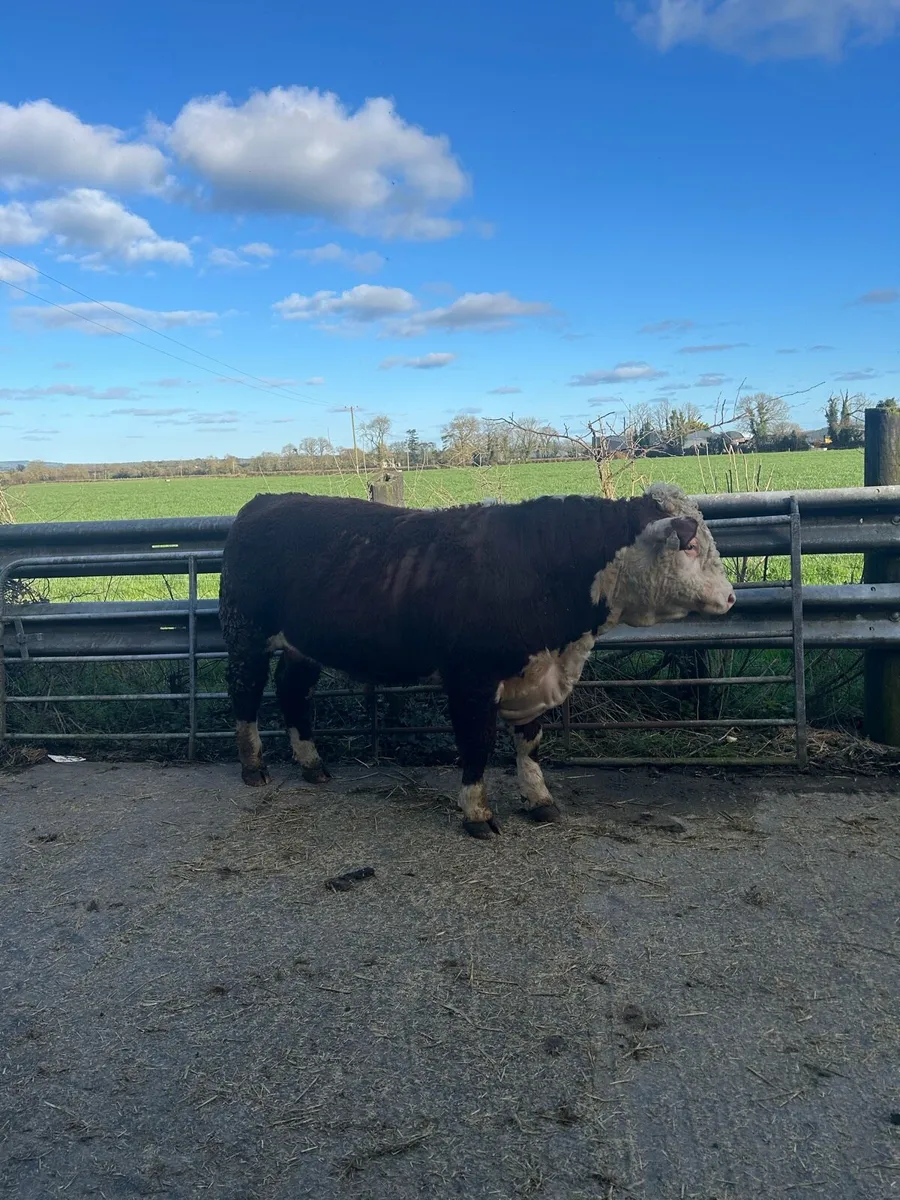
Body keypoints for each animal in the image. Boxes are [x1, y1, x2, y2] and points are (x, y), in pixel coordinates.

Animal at [218, 483, 735, 838]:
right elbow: (477, 743)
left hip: (302, 645)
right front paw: (476, 812)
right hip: (246, 634)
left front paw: (539, 799)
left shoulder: (533, 676)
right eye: (691, 545)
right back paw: (253, 766)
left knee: (293, 692)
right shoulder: (471, 678)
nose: (731, 596)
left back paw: (312, 764)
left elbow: (530, 743)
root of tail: (265, 501)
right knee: (245, 694)